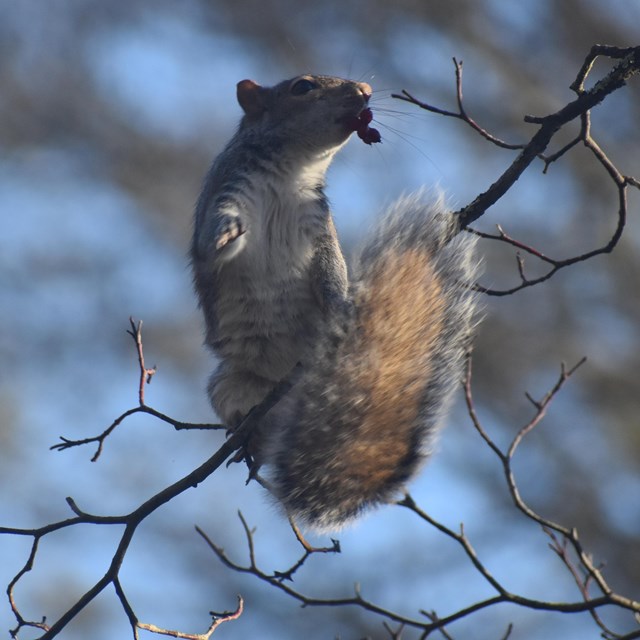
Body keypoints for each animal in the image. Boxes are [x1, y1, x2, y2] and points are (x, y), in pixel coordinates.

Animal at [191, 75, 480, 532]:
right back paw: (247, 440)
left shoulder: (319, 223)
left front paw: (341, 300)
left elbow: (331, 267)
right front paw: (225, 234)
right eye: (301, 87)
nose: (364, 89)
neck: (293, 170)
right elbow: (215, 237)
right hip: (233, 385)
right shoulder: (228, 189)